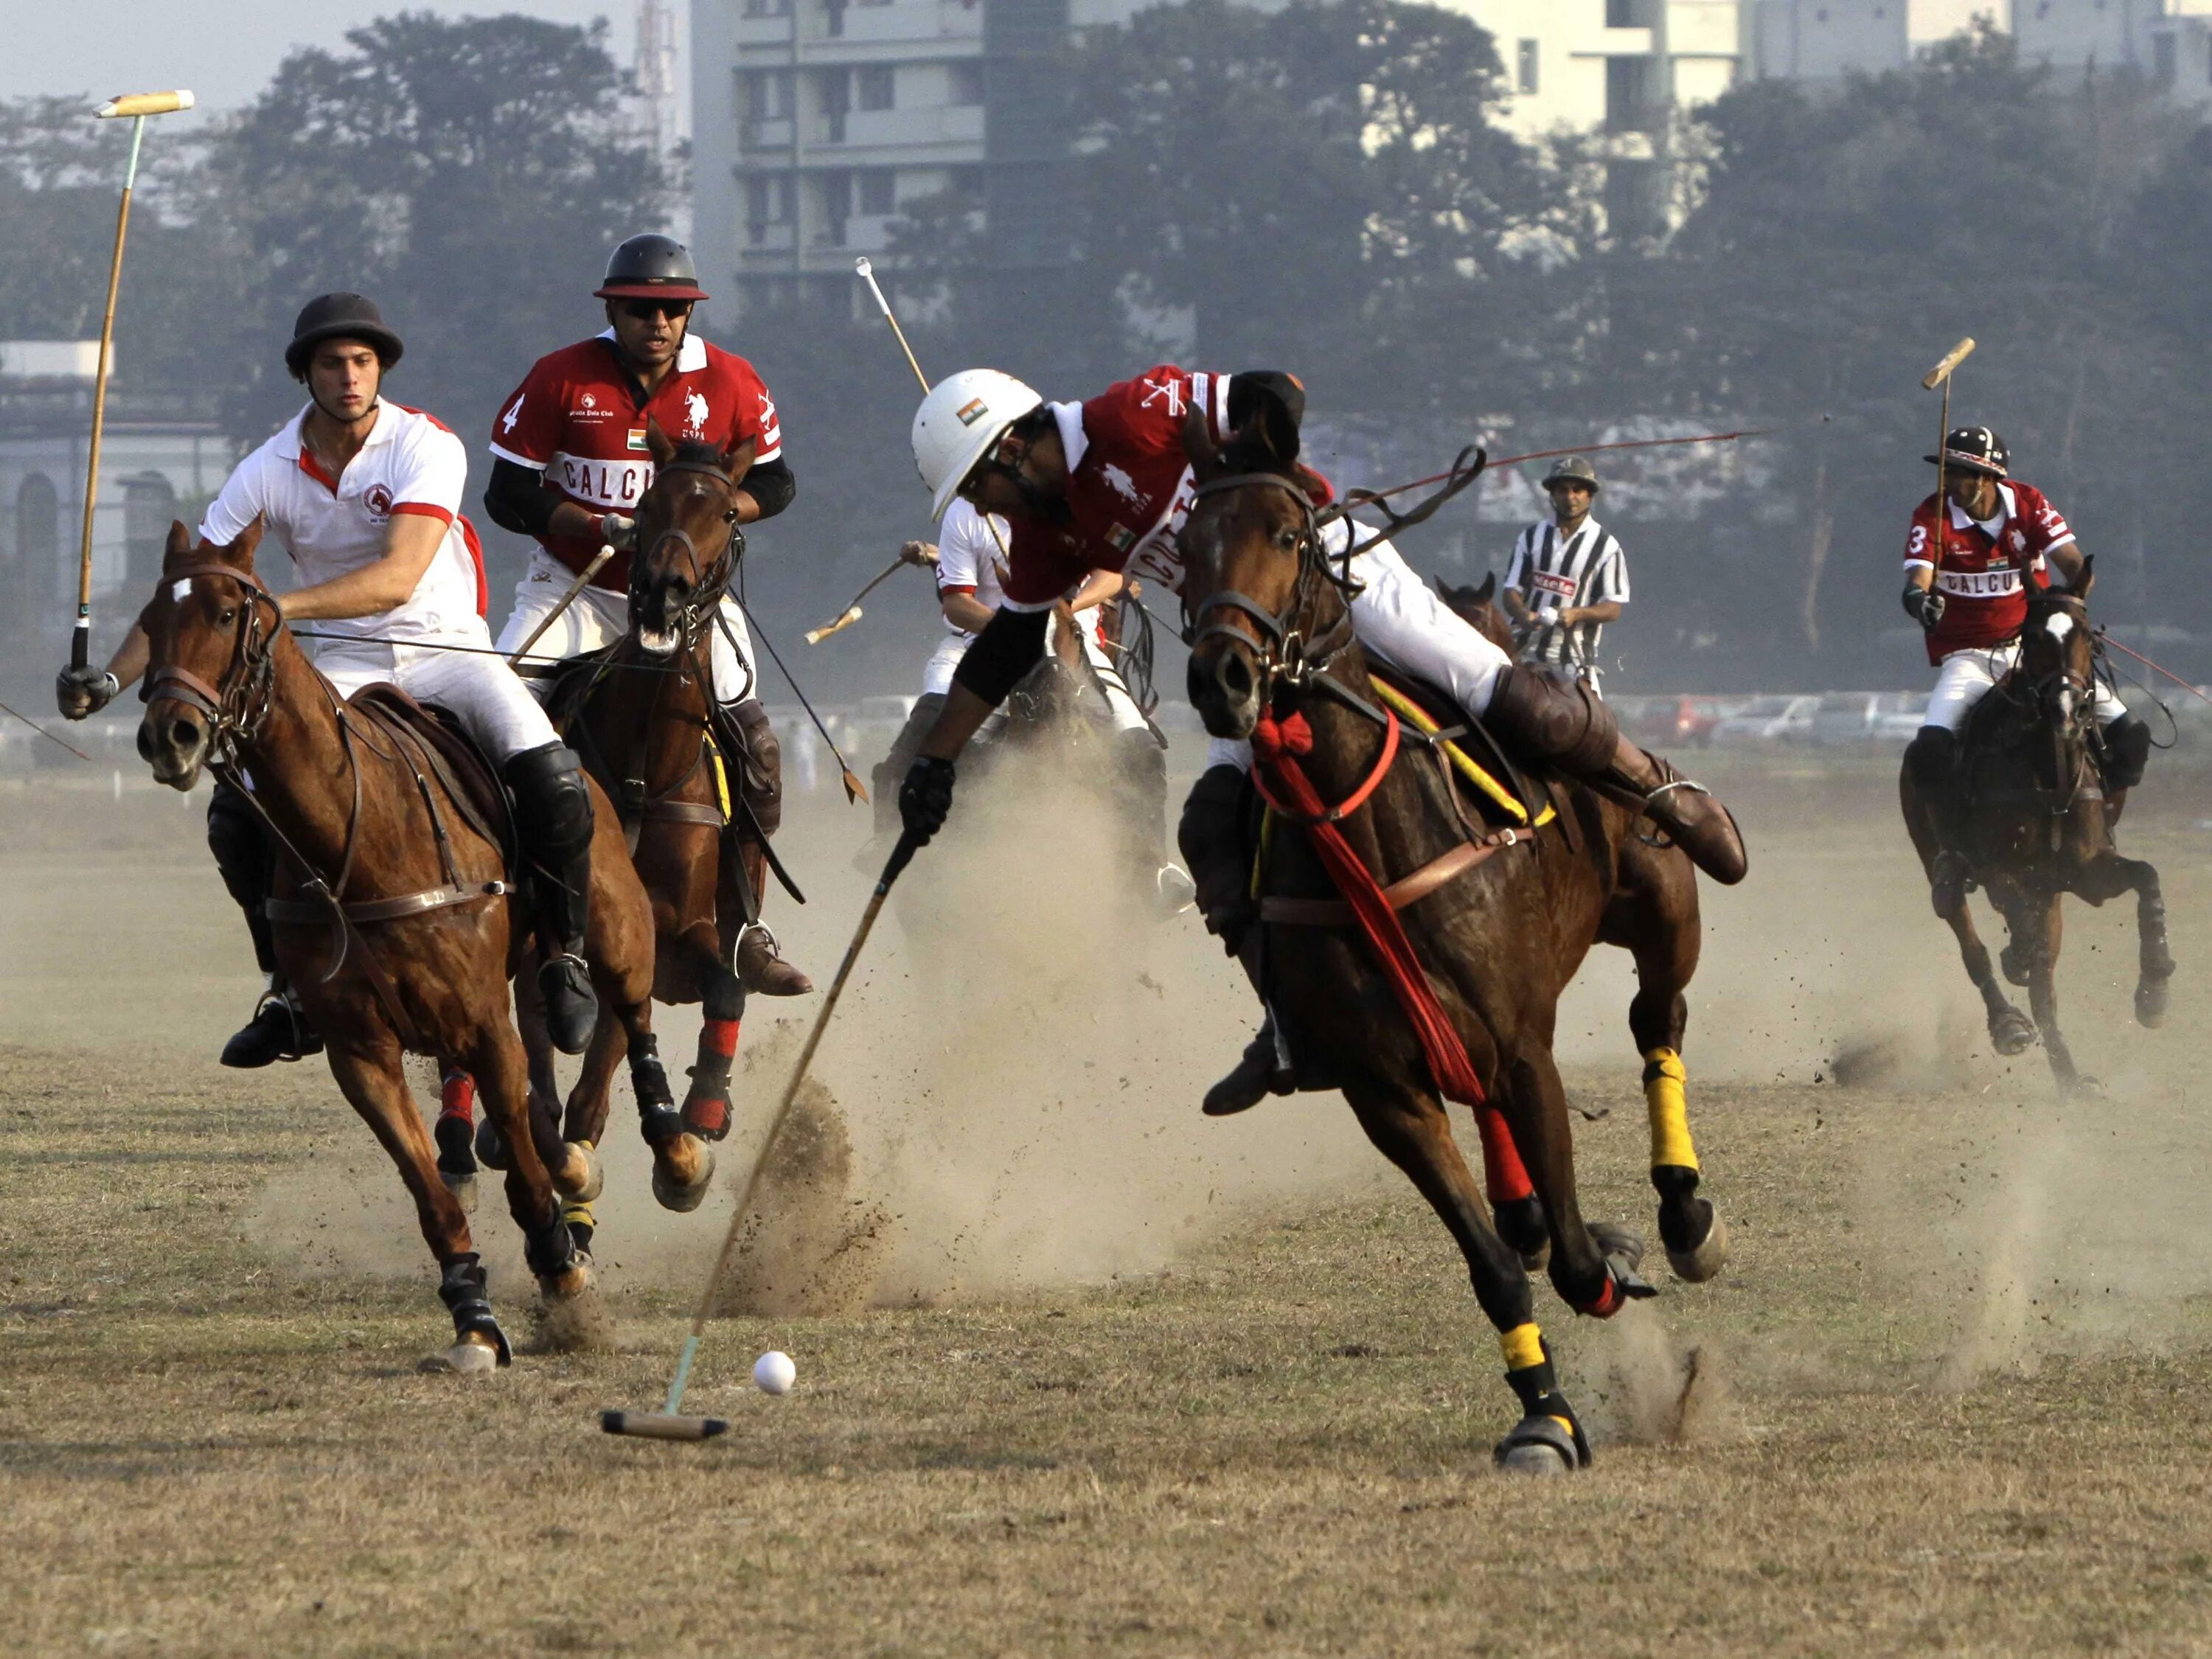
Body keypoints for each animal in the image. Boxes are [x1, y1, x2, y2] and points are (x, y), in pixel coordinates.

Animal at [133, 522, 681, 1380]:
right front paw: (475, 1324)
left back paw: (674, 1148)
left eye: (227, 614)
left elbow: (524, 1178)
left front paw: (562, 1273)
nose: (169, 734)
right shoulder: (362, 1052)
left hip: (617, 926)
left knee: (629, 1017)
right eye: (151, 621)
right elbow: (435, 1199)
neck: (354, 845)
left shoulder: (486, 1026)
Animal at [1186, 425, 1717, 1469]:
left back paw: (1682, 1210)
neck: (1362, 823)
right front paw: (1546, 1419)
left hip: (1665, 911)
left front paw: (1614, 1255)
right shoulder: (1384, 1090)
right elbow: (1498, 1265)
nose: (1222, 678)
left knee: (1657, 1021)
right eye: (1185, 548)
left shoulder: (1523, 1050)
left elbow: (1575, 1256)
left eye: (1287, 536)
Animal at [1902, 580, 2177, 1097]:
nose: (2067, 711)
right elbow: (2012, 930)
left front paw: (2153, 994)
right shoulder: (2001, 869)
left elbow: (2148, 878)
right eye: (2031, 637)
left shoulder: (2084, 872)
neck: (2049, 773)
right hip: (1938, 848)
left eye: (2086, 633)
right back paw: (2008, 1023)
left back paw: (2070, 1078)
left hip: (2051, 893)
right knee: (1965, 929)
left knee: (2044, 986)